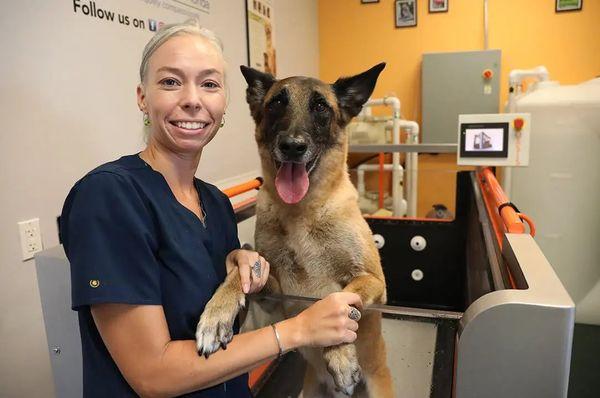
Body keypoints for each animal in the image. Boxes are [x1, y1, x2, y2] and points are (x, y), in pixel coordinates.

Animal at [195, 63, 396, 396]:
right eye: (276, 103)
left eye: (321, 106)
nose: (292, 146)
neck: (301, 212)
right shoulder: (273, 294)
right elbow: (238, 273)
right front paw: (216, 314)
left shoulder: (375, 283)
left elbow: (343, 298)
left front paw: (340, 355)